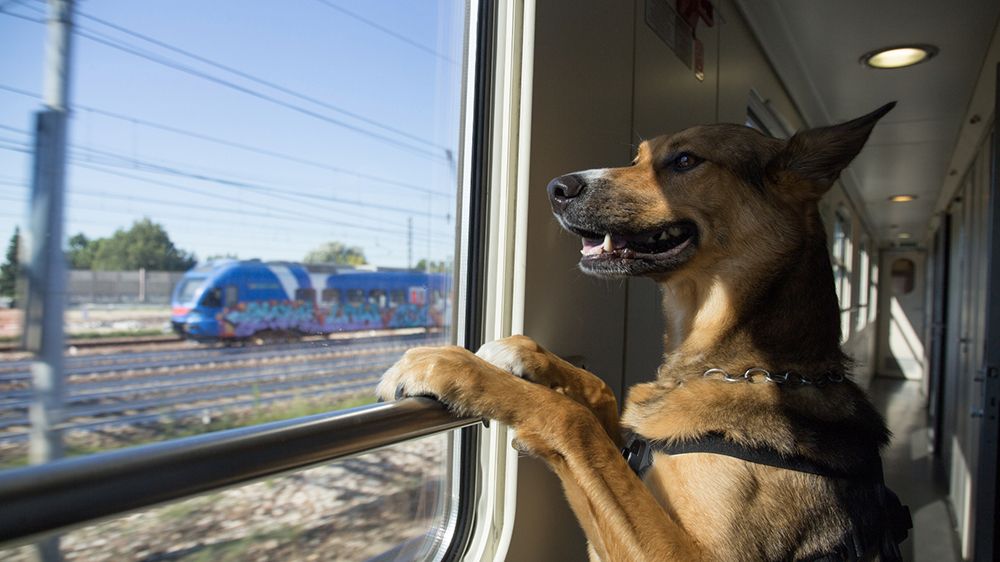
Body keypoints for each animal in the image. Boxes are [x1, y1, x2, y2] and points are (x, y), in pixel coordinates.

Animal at [376, 105, 908, 560]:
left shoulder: (684, 555)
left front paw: (451, 366)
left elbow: (573, 420)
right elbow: (600, 396)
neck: (753, 368)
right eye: (636, 159)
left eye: (686, 160)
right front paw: (523, 353)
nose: (556, 188)